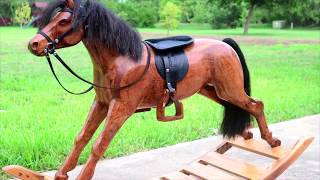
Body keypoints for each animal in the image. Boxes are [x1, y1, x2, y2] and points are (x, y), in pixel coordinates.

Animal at [28, 0, 280, 180]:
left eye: (63, 21)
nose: (34, 44)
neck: (121, 59)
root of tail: (226, 45)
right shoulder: (101, 104)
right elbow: (82, 137)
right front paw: (62, 172)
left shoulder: (121, 108)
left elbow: (99, 144)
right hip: (213, 91)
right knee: (240, 106)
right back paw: (246, 133)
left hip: (229, 89)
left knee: (256, 104)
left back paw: (271, 141)